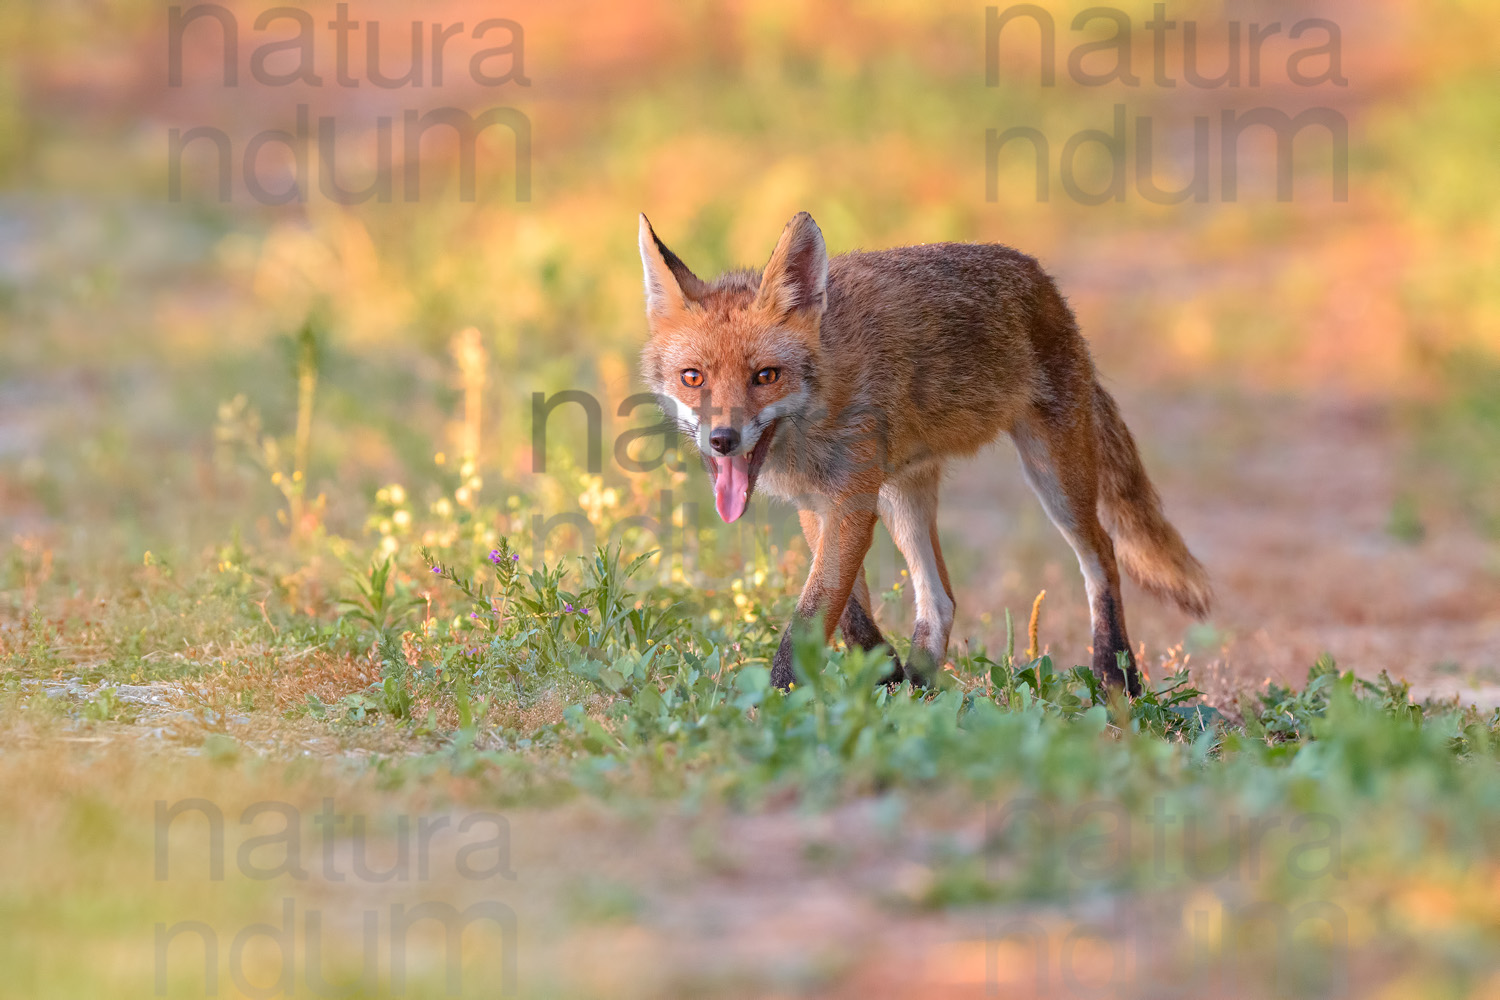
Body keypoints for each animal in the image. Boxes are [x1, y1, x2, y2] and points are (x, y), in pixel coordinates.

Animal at [633, 211, 1206, 695]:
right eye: (693, 378)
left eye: (765, 376)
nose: (722, 440)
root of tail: (1044, 281)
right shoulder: (819, 505)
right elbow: (847, 611)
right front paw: (884, 672)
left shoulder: (850, 501)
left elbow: (810, 615)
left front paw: (771, 704)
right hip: (902, 496)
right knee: (942, 599)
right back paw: (920, 687)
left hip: (1053, 476)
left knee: (1102, 554)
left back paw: (1116, 673)